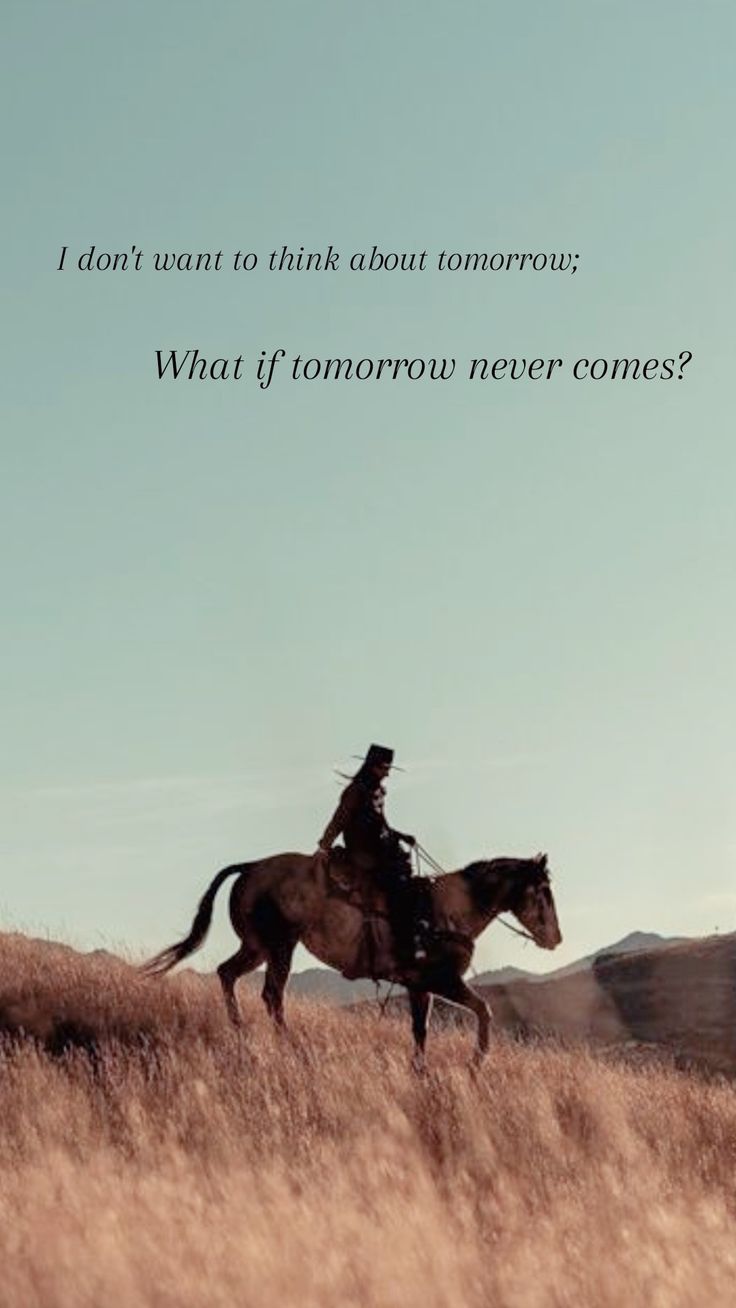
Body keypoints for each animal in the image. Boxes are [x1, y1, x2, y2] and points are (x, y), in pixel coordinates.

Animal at [143, 852, 562, 1056]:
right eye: (542, 890)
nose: (555, 938)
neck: (446, 911)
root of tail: (252, 867)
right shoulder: (442, 981)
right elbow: (484, 1011)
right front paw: (478, 1062)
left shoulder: (419, 987)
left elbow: (420, 1033)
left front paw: (422, 1074)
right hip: (280, 947)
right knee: (272, 995)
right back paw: (288, 1044)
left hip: (257, 947)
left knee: (227, 973)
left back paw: (240, 1029)